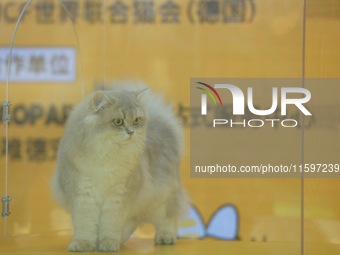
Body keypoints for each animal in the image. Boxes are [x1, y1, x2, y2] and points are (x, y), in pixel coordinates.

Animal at [51, 82, 187, 252]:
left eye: (136, 121)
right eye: (118, 122)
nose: (131, 132)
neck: (107, 156)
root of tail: (164, 124)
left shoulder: (118, 196)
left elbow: (110, 224)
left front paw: (108, 243)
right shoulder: (82, 193)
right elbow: (85, 224)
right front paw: (84, 244)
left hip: (162, 197)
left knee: (168, 219)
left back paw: (165, 237)